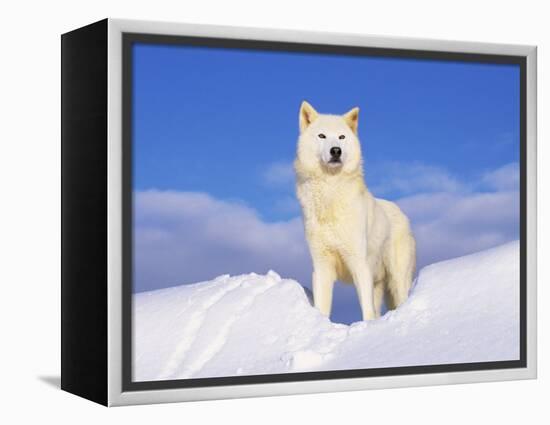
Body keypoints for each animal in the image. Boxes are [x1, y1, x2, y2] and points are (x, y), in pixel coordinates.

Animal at [296, 101, 416, 320]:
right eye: (322, 136)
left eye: (342, 137)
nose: (336, 151)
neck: (331, 194)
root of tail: (401, 211)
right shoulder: (321, 266)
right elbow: (322, 308)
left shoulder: (359, 263)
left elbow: (366, 310)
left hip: (397, 281)